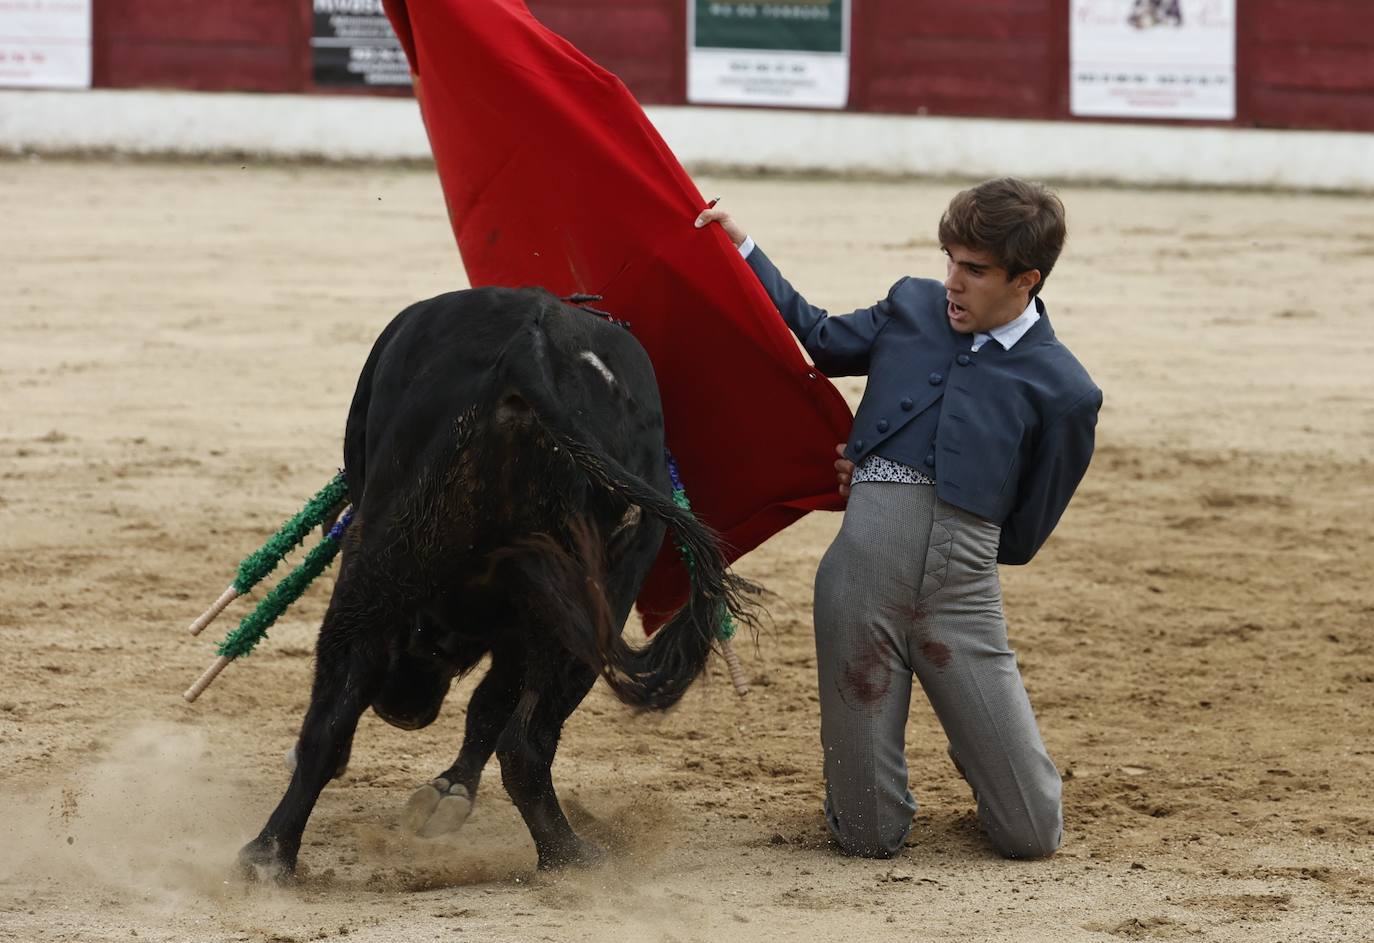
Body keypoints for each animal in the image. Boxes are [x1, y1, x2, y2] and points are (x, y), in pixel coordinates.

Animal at [236, 288, 752, 879]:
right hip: (586, 603)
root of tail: (529, 351)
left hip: (382, 569)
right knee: (523, 742)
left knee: (336, 713)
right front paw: (451, 791)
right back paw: (570, 856)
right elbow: (492, 702)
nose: (403, 711)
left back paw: (269, 855)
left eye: (432, 643)